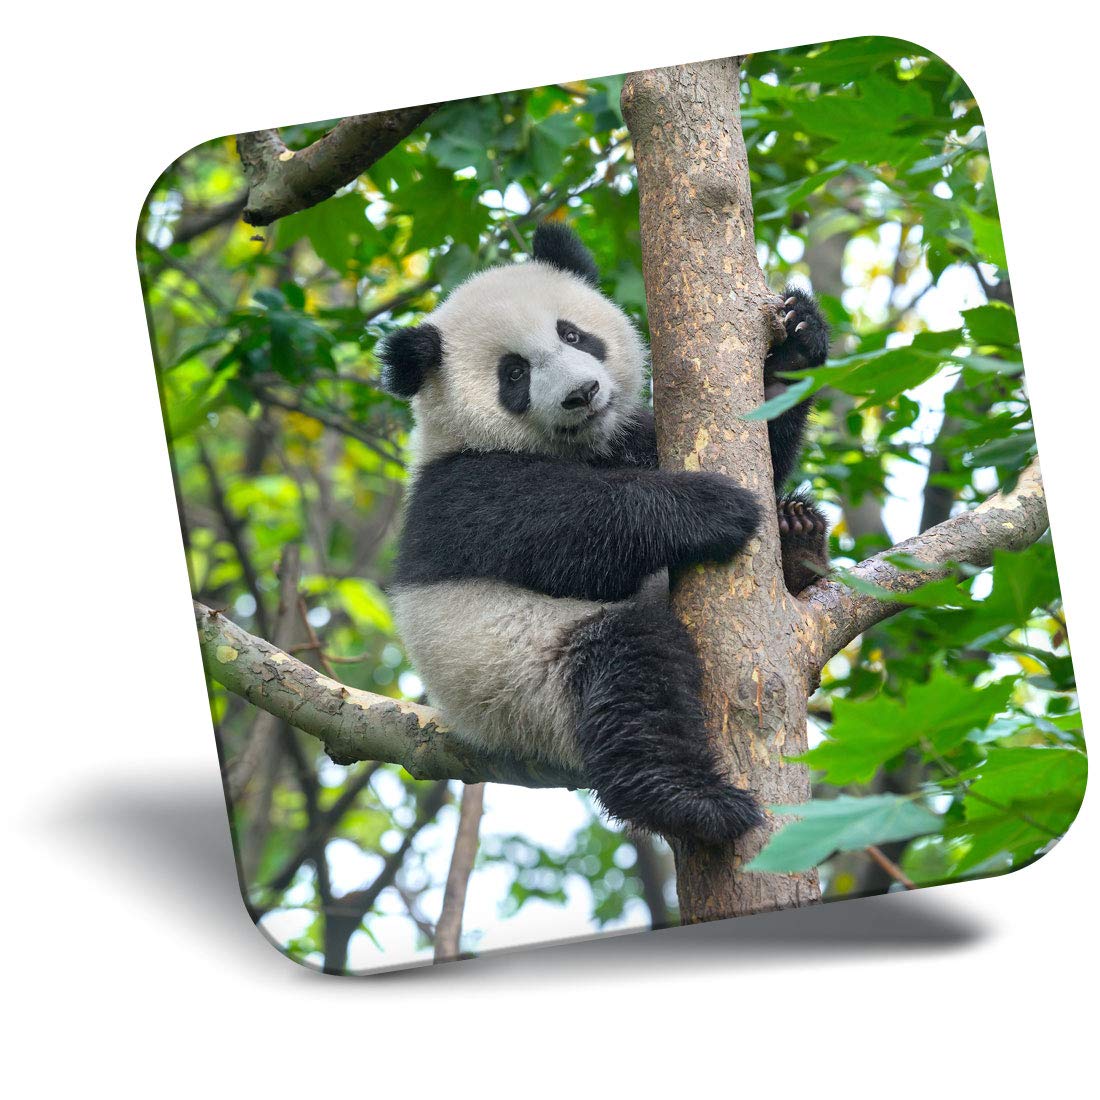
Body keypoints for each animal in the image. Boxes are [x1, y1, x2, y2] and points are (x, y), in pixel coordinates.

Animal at [378, 223, 829, 843]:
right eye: (514, 374)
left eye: (572, 334)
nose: (582, 394)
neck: (579, 446)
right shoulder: (461, 490)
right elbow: (570, 534)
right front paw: (714, 508)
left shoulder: (629, 437)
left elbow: (764, 441)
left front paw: (798, 339)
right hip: (527, 682)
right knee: (628, 676)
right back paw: (691, 801)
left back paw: (799, 539)